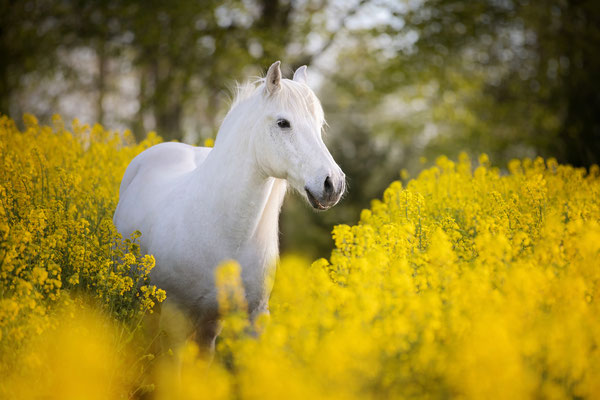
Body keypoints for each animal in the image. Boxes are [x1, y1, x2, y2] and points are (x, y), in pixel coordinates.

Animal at [114, 60, 344, 350]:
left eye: (319, 125)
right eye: (283, 123)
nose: (333, 184)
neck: (225, 233)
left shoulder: (252, 319)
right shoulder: (175, 318)